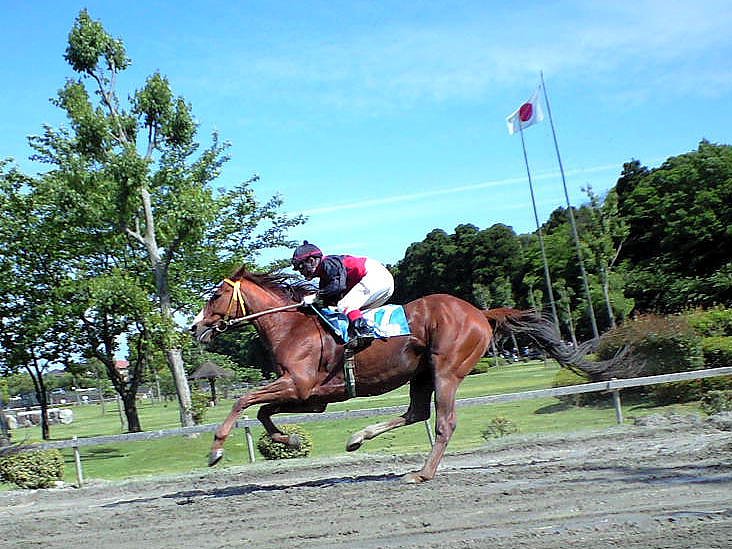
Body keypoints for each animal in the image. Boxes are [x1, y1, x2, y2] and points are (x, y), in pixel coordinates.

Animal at [191, 267, 626, 483]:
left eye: (214, 296)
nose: (195, 328)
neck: (292, 327)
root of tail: (479, 312)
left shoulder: (299, 385)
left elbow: (243, 400)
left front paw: (215, 450)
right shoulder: (311, 397)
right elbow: (264, 413)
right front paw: (291, 440)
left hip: (447, 370)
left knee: (445, 422)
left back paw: (423, 474)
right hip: (421, 373)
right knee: (417, 413)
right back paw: (358, 437)